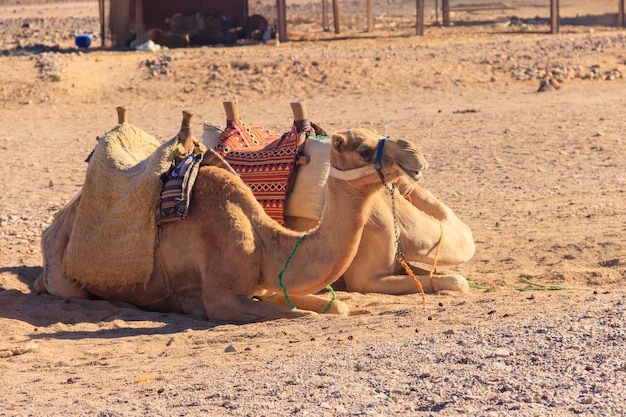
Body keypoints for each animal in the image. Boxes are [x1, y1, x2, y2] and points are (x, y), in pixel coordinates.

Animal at [35, 108, 428, 322]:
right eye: (361, 148)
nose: (415, 153)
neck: (264, 241)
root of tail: (56, 223)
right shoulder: (221, 299)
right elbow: (298, 314)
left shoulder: (268, 287)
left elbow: (336, 308)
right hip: (63, 271)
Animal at [202, 101, 476, 294]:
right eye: (364, 150)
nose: (414, 152)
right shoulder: (364, 279)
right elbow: (457, 281)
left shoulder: (399, 263)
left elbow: (450, 277)